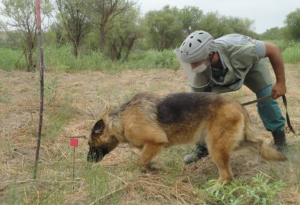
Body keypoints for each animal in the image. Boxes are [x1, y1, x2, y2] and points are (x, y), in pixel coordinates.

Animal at [86, 92, 286, 182]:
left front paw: (151, 168)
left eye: (90, 144)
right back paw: (262, 160)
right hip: (232, 142)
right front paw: (152, 168)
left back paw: (215, 186)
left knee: (227, 175)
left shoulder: (155, 142)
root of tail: (238, 104)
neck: (120, 120)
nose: (87, 161)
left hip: (216, 147)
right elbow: (144, 160)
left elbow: (141, 160)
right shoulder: (150, 147)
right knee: (257, 143)